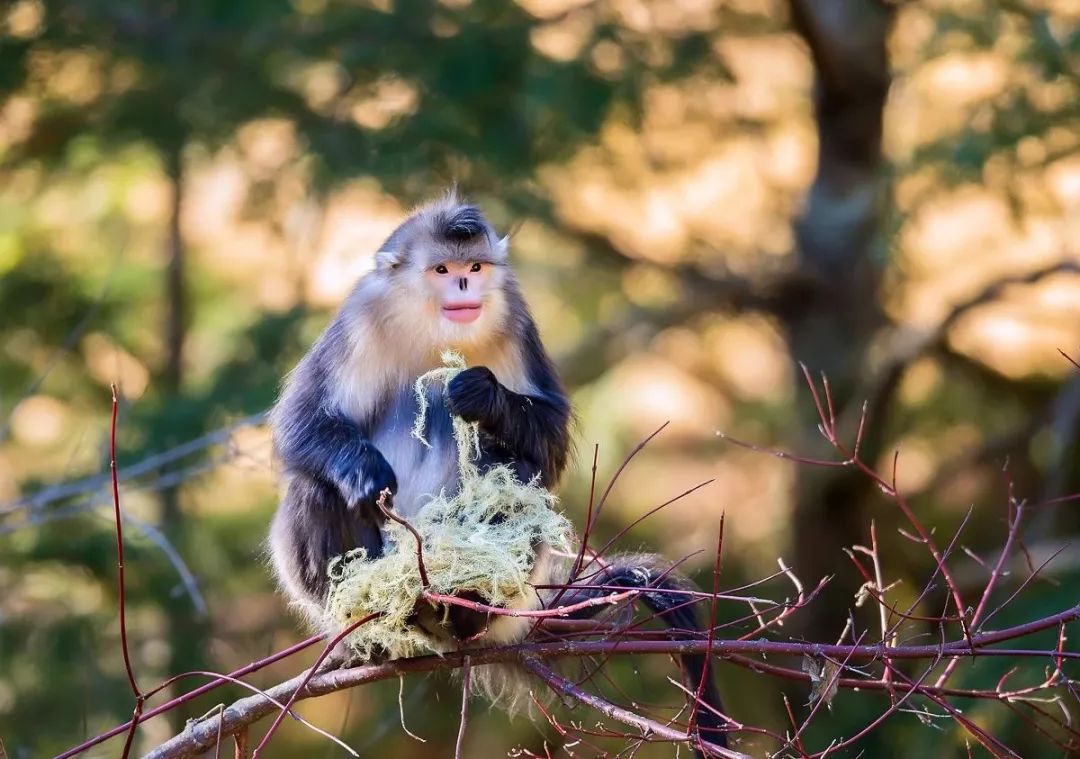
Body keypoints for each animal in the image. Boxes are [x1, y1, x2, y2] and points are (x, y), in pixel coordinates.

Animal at [265, 191, 730, 755]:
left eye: (475, 268)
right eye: (443, 269)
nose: (465, 285)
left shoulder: (515, 316)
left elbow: (547, 449)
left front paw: (482, 394)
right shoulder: (360, 317)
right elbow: (299, 422)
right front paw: (364, 472)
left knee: (510, 466)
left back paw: (465, 609)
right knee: (312, 485)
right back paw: (374, 629)